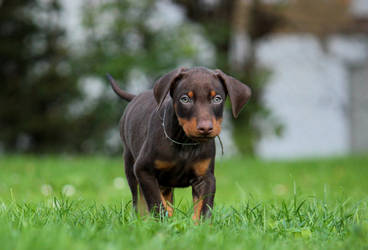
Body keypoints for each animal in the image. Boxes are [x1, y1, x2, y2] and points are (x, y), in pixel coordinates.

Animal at [106, 67, 250, 221]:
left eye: (217, 99)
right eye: (185, 99)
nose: (205, 128)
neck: (185, 143)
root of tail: (137, 96)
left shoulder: (206, 177)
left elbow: (204, 207)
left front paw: (201, 225)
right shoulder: (143, 170)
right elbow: (156, 203)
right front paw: (162, 222)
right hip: (130, 164)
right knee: (139, 199)